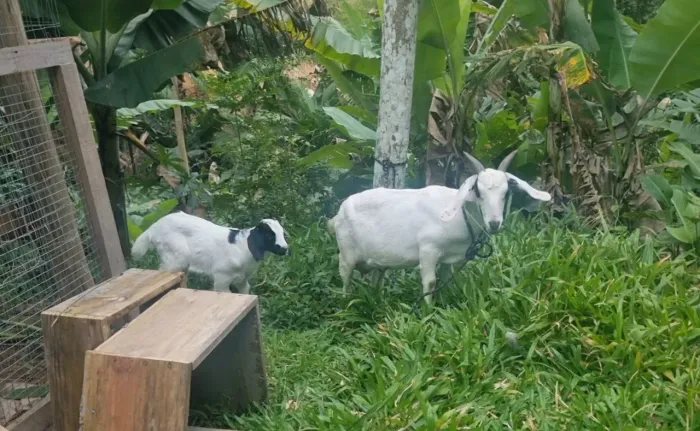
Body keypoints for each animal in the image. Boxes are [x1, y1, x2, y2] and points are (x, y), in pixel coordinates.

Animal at [131, 211, 290, 294]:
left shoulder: (242, 278)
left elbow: (245, 292)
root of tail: (153, 229)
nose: (284, 248)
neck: (243, 246)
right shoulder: (222, 276)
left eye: (282, 233)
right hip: (174, 257)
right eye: (269, 235)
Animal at [327, 150, 551, 303]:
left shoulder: (447, 258)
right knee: (345, 279)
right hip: (346, 255)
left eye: (506, 192)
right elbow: (430, 283)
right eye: (478, 191)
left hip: (377, 262)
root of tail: (337, 215)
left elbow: (445, 280)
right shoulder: (428, 250)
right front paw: (427, 311)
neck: (460, 213)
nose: (494, 223)